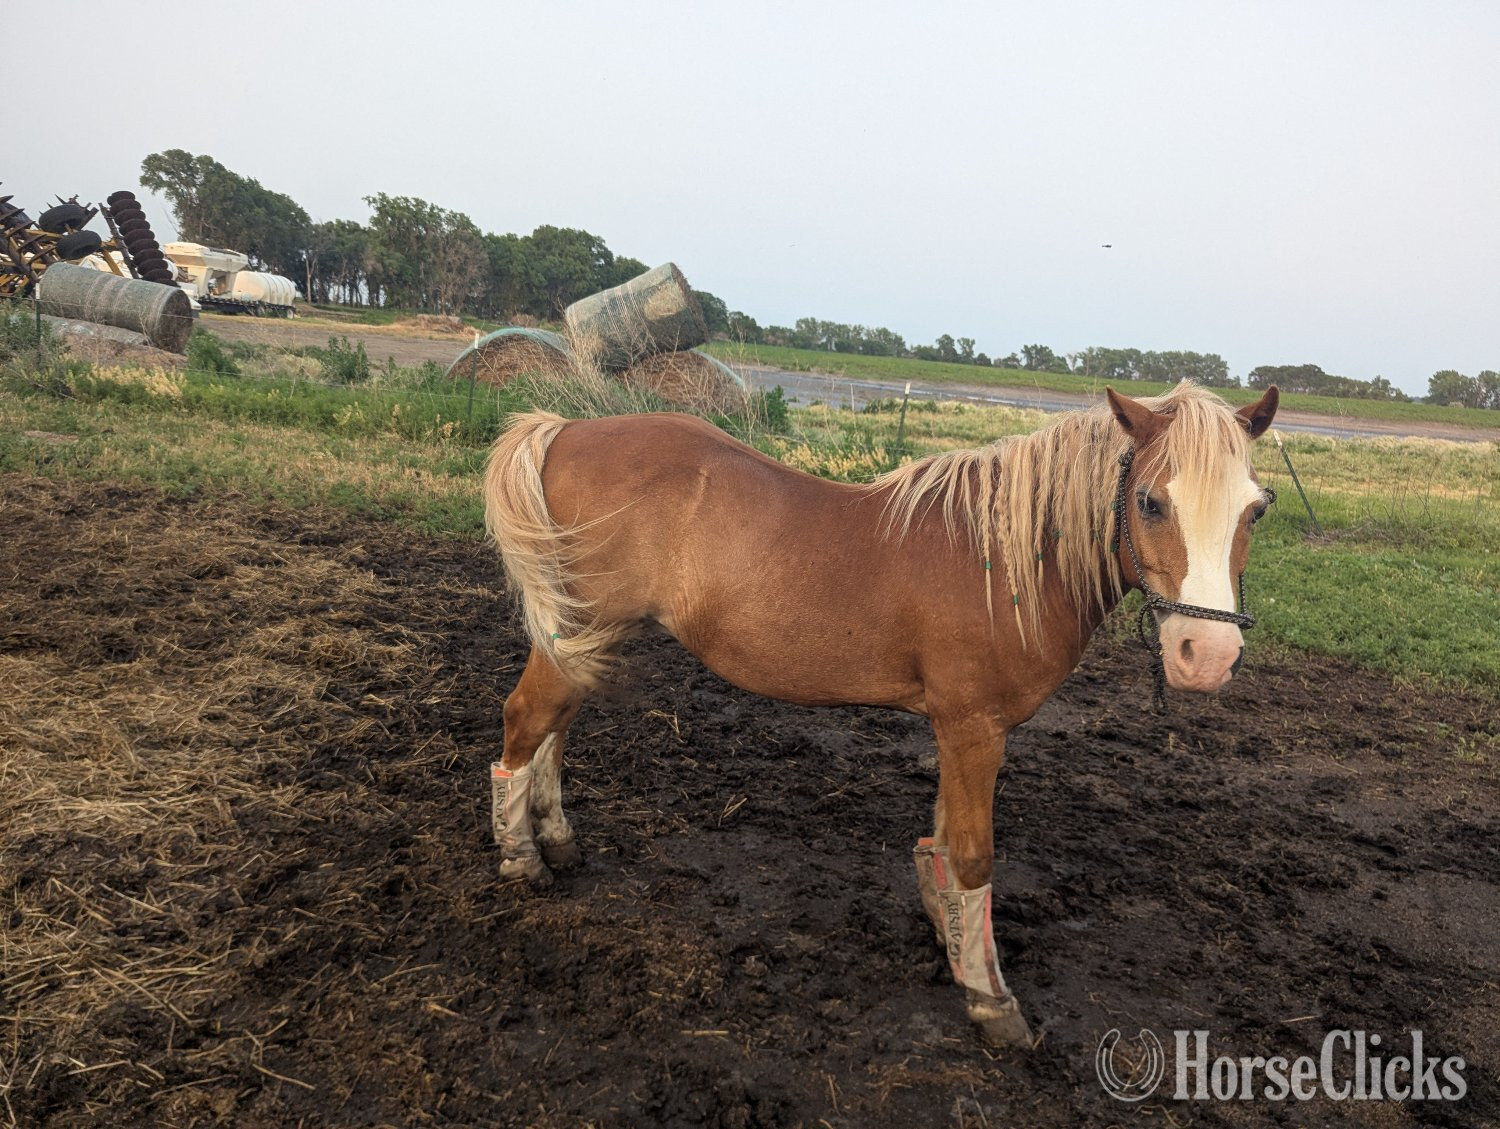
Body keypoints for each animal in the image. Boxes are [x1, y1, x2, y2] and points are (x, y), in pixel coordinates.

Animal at [480, 380, 1280, 1046]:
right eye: (1149, 501)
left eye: (1257, 508)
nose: (1206, 655)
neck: (1004, 563)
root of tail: (566, 430)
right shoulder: (973, 728)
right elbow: (972, 854)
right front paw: (989, 997)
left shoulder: (961, 730)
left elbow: (942, 841)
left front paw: (949, 935)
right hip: (577, 632)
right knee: (525, 722)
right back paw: (521, 857)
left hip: (588, 634)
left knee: (555, 727)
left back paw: (555, 836)